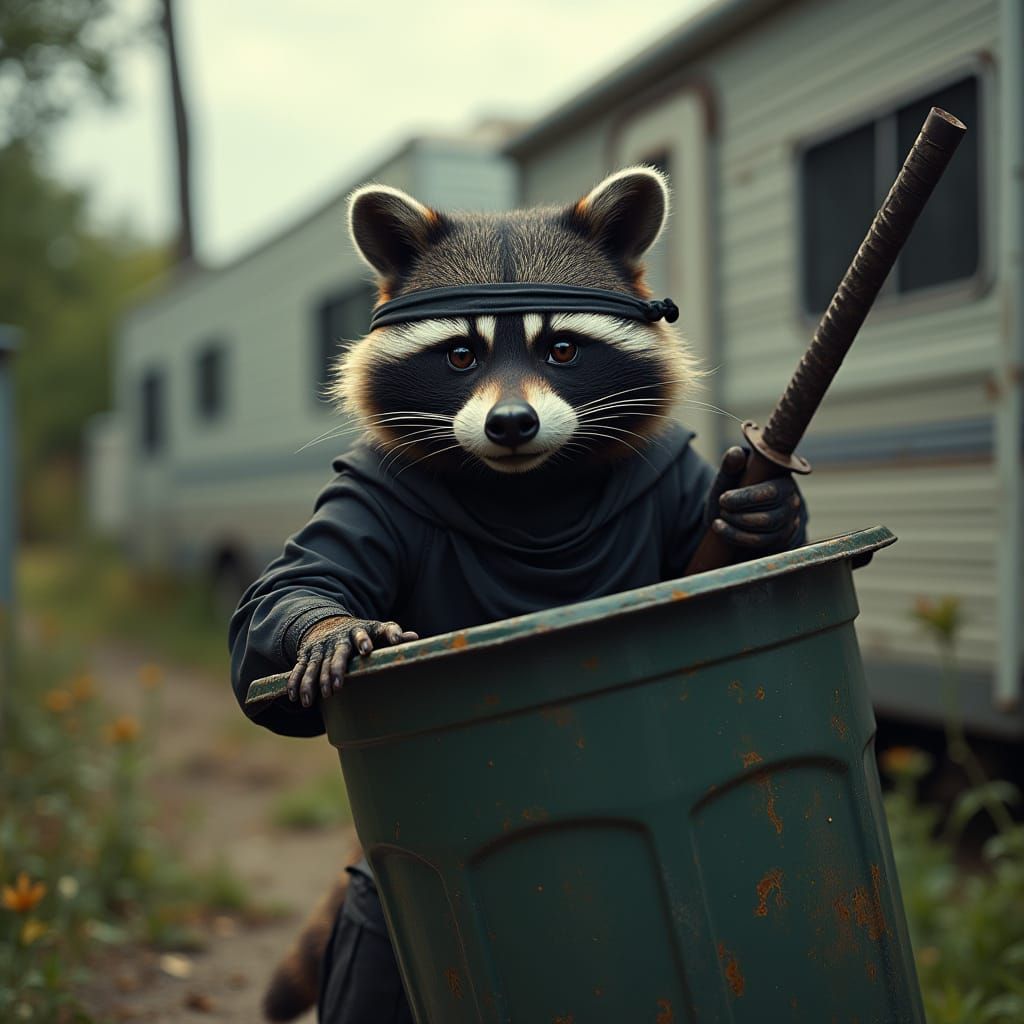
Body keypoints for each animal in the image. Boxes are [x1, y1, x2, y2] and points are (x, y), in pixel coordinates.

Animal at [231, 166, 805, 1023]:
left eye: (561, 348)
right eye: (460, 354)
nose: (510, 424)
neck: (532, 493)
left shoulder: (675, 475)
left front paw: (775, 516)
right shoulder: (373, 488)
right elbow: (285, 592)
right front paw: (322, 625)